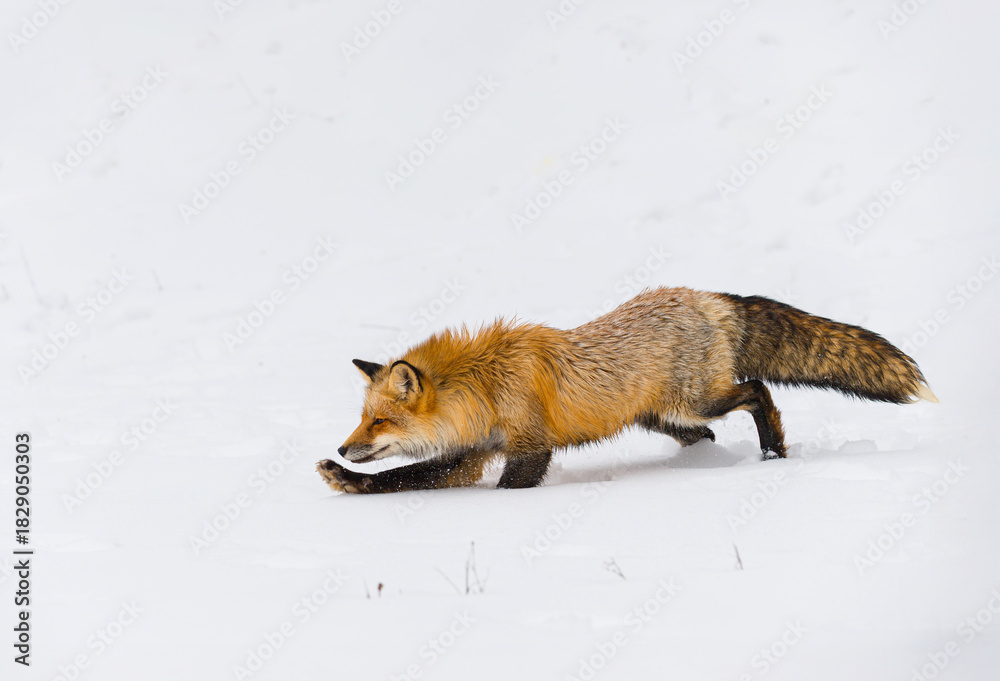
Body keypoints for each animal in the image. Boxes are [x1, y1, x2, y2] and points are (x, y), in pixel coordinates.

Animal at [317, 287, 937, 494]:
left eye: (378, 422)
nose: (345, 446)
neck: (487, 386)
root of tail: (709, 297)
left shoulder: (529, 446)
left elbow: (508, 489)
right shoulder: (473, 452)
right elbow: (405, 477)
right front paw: (348, 481)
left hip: (698, 398)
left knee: (758, 390)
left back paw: (772, 454)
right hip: (666, 418)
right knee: (709, 435)